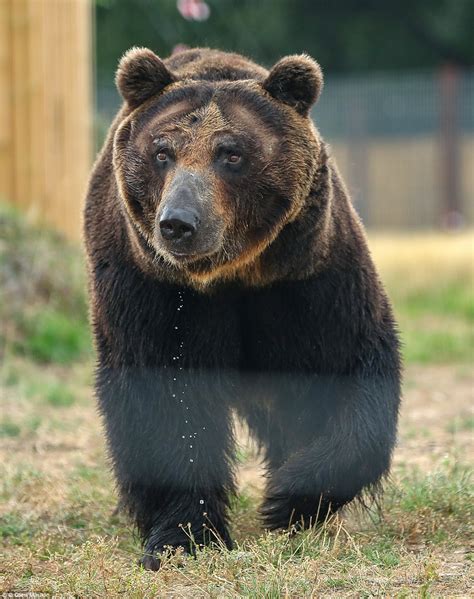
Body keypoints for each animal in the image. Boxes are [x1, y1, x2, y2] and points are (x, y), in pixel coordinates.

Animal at [84, 47, 400, 572]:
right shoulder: (159, 293)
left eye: (231, 153)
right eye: (162, 152)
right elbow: (168, 403)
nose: (178, 224)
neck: (235, 273)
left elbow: (349, 371)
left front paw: (287, 500)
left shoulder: (307, 279)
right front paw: (182, 535)